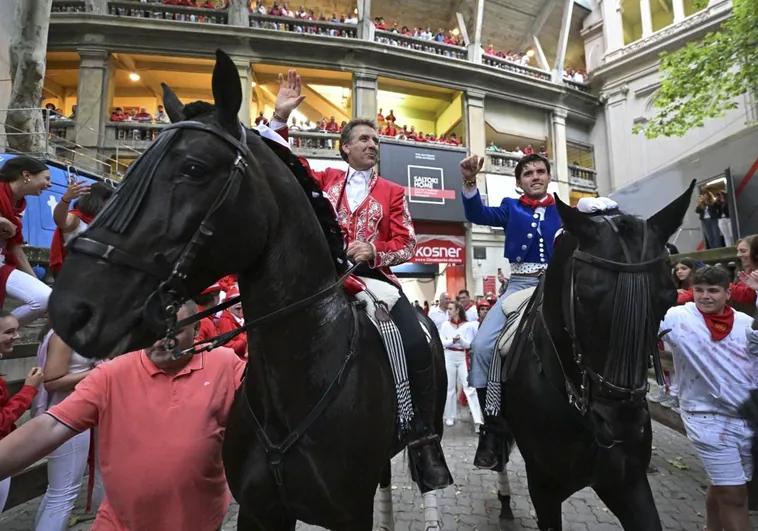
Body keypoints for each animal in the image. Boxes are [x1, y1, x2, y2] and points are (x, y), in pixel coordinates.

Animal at [47, 48, 448, 528]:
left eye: (194, 169)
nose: (72, 308)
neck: (295, 383)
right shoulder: (259, 510)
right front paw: (282, 109)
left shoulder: (349, 512)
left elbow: (402, 237)